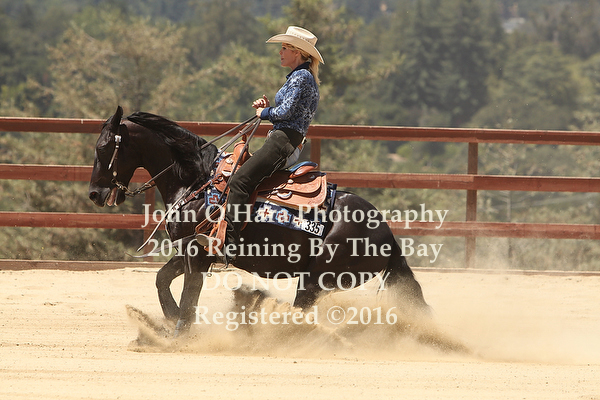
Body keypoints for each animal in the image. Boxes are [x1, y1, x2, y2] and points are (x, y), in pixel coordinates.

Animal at [89, 106, 429, 334]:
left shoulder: (197, 254)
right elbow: (162, 280)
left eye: (103, 147)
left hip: (316, 279)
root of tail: (386, 233)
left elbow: (189, 295)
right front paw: (171, 320)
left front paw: (179, 334)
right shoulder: (192, 250)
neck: (196, 181)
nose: (94, 193)